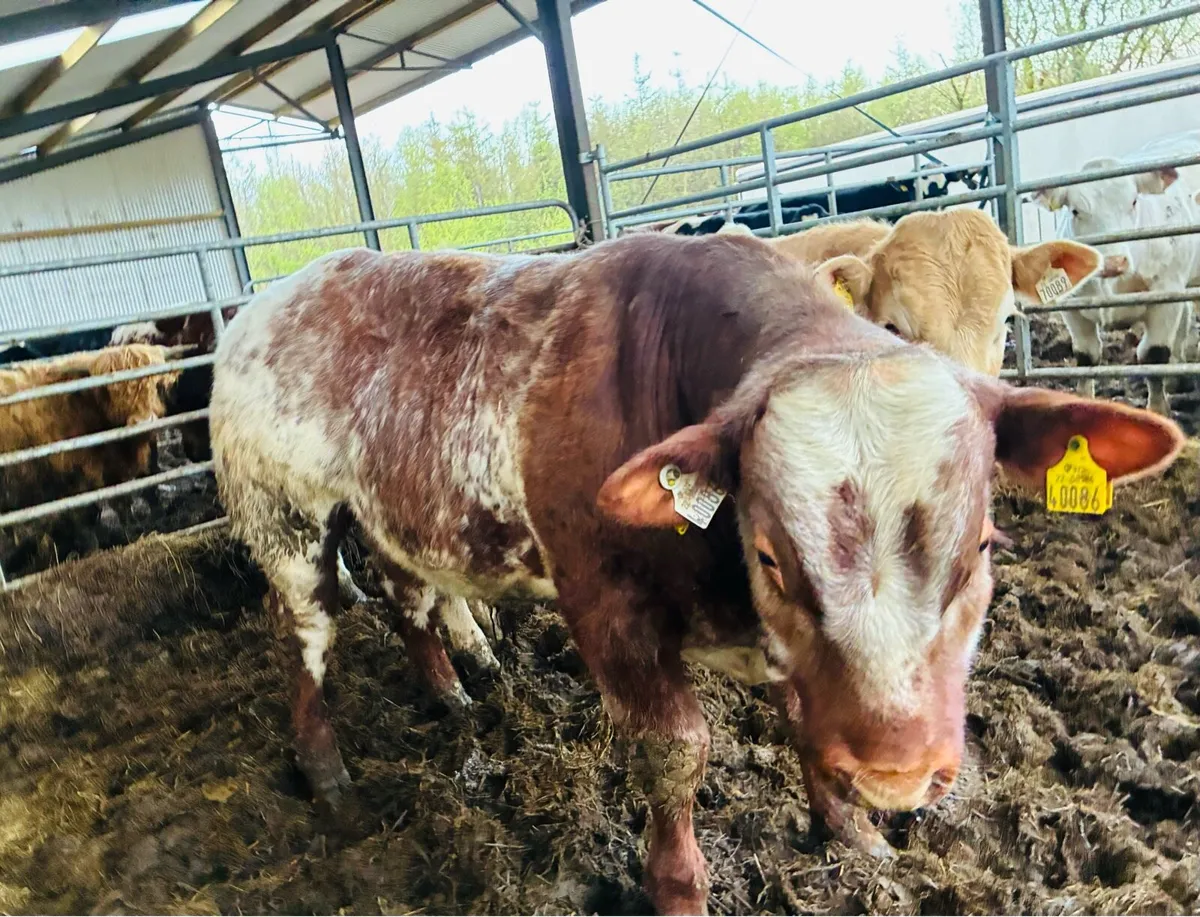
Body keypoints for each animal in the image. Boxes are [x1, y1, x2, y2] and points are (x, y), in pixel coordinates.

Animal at [209, 235, 1182, 915]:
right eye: (770, 555)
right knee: (307, 630)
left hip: (391, 516)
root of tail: (272, 298)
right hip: (284, 518)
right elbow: (676, 751)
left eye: (980, 544)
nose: (898, 769)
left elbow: (804, 716)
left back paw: (447, 689)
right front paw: (679, 882)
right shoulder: (606, 607)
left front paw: (852, 830)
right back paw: (324, 766)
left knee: (409, 594)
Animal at [1034, 160, 1200, 415]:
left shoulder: (1166, 294)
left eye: (1134, 202)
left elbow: (1153, 354)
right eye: (1075, 211)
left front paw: (1158, 410)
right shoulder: (1070, 306)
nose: (1113, 262)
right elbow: (1085, 356)